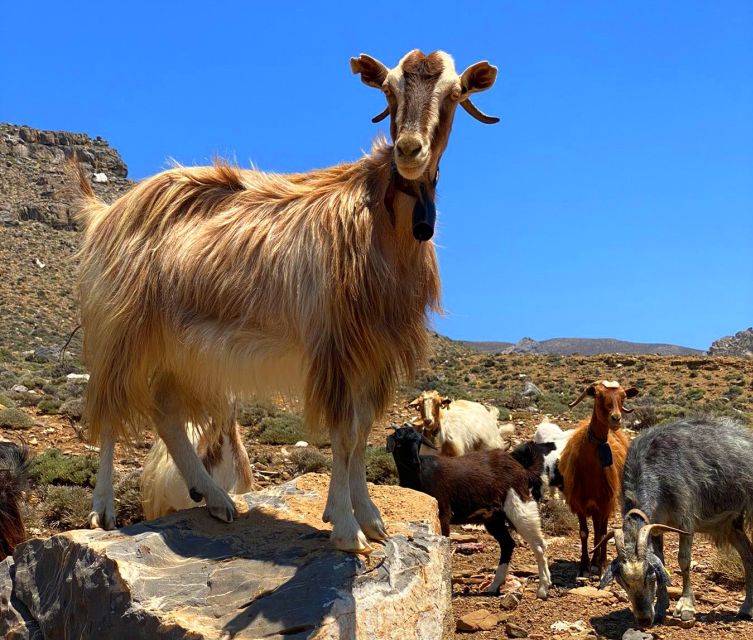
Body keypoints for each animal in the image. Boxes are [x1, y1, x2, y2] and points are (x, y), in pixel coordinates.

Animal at [75, 50, 500, 552]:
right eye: (389, 90)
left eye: (454, 94)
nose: (409, 150)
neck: (379, 229)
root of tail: (109, 211)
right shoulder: (336, 349)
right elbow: (343, 436)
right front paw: (346, 527)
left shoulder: (374, 351)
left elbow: (361, 434)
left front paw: (372, 520)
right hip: (122, 327)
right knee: (109, 408)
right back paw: (103, 509)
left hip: (180, 348)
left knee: (165, 411)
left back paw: (214, 497)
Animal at [388, 428, 552, 596]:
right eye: (399, 443)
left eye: (419, 442)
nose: (415, 463)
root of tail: (522, 469)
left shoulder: (443, 514)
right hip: (494, 518)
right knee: (508, 544)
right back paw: (494, 586)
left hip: (518, 506)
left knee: (539, 545)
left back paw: (543, 589)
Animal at [556, 378, 636, 576]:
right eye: (598, 396)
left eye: (623, 397)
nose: (616, 418)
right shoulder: (579, 503)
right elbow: (584, 532)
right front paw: (584, 565)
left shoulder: (605, 502)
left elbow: (602, 534)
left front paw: (601, 565)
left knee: (601, 530)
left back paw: (599, 561)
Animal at [596, 418, 752, 628]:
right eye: (622, 581)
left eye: (649, 576)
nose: (644, 620)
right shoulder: (656, 527)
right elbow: (662, 560)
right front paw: (661, 608)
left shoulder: (686, 521)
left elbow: (683, 560)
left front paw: (686, 606)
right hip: (730, 524)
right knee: (748, 555)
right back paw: (746, 608)